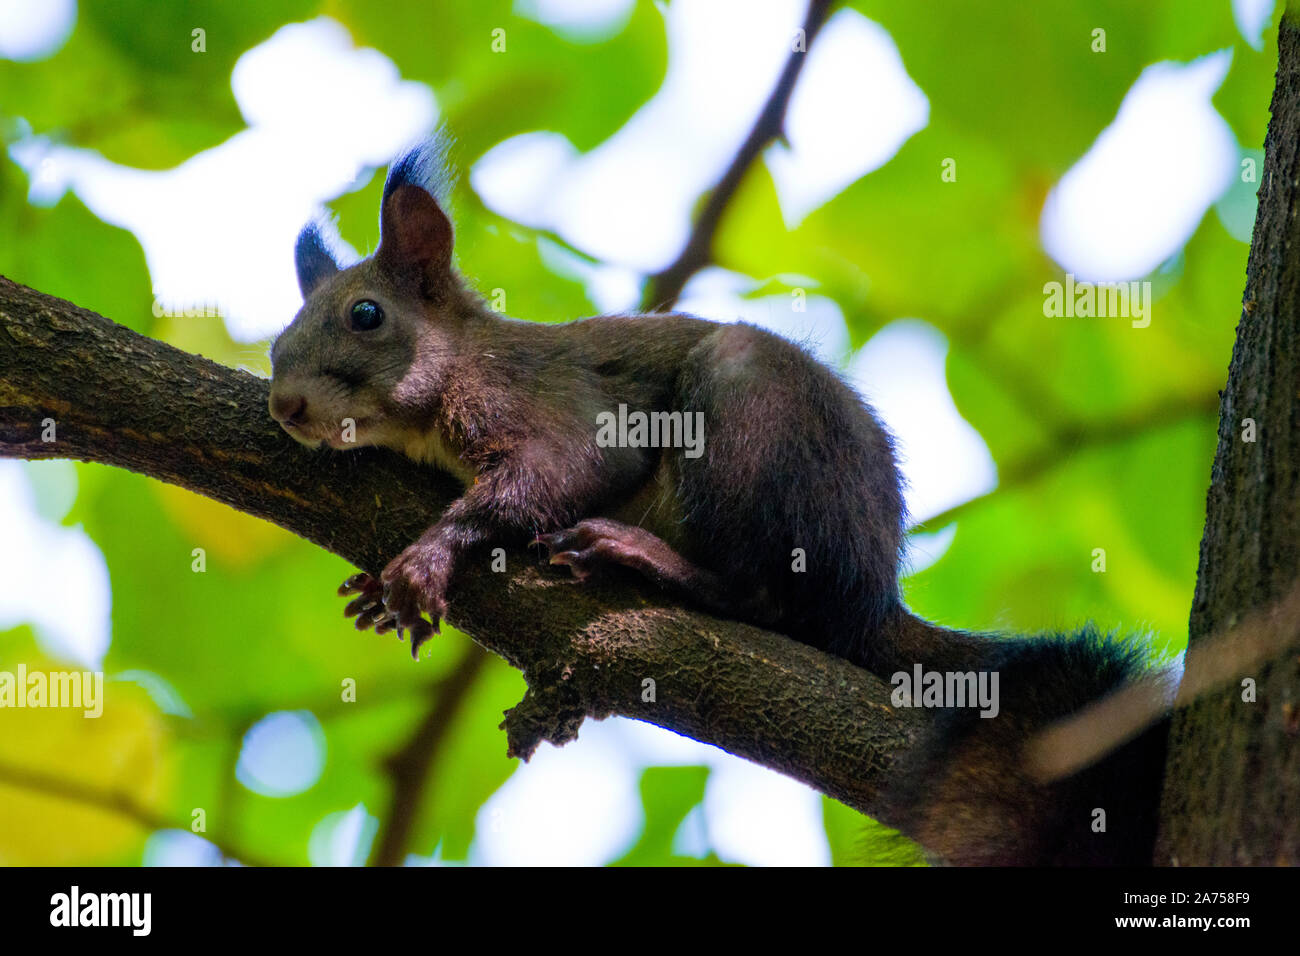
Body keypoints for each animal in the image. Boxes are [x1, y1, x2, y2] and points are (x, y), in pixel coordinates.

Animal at [269, 140, 1175, 868]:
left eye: (365, 315)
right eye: (277, 342)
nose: (284, 405)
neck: (456, 371)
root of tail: (873, 593)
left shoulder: (549, 408)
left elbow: (557, 472)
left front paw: (426, 559)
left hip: (748, 422)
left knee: (764, 595)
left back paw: (648, 559)